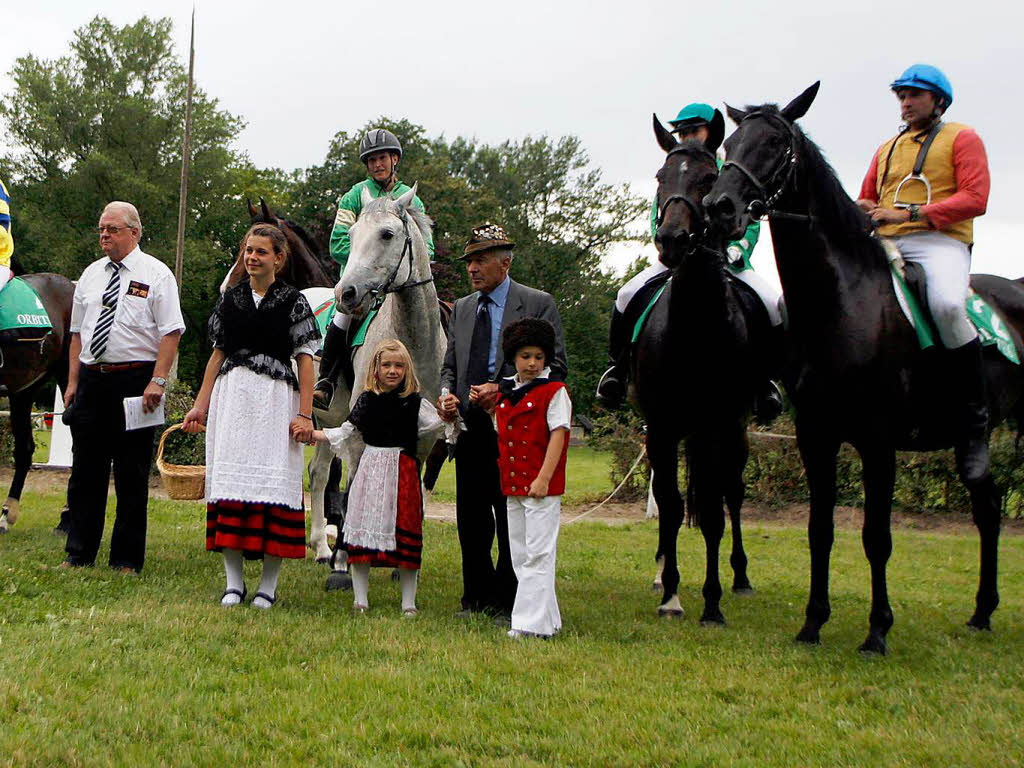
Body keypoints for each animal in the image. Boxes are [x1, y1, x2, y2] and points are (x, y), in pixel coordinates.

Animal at [626, 118, 778, 626]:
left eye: (709, 178)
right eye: (660, 177)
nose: (671, 240)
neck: (694, 326)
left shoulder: (720, 424)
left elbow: (712, 511)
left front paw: (712, 602)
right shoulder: (663, 427)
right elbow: (672, 506)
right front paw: (671, 593)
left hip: (736, 435)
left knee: (732, 492)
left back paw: (741, 577)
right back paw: (660, 572)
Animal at [704, 81, 1024, 651]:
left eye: (776, 144)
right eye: (730, 144)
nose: (719, 208)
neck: (842, 304)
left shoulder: (877, 441)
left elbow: (877, 536)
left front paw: (877, 630)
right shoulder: (816, 434)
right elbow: (821, 529)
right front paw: (813, 622)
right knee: (988, 509)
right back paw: (982, 611)